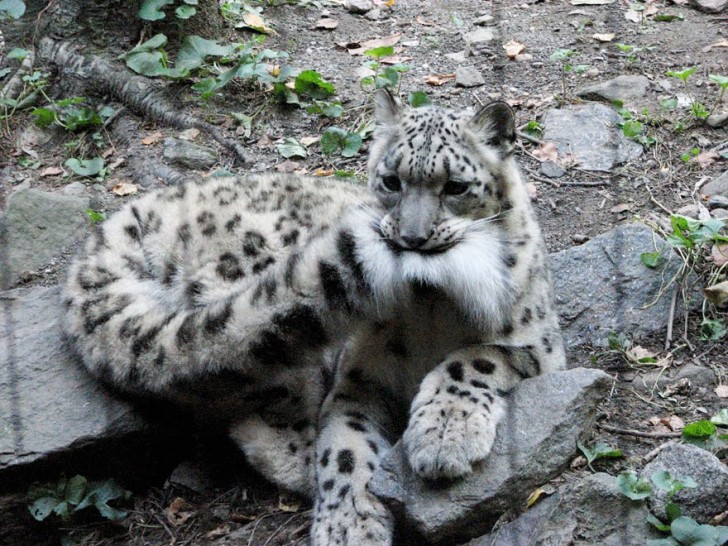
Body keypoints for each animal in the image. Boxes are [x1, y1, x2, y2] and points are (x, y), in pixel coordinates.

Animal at [62, 89, 566, 545]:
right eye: (391, 180)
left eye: (456, 186)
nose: (412, 237)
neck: (430, 307)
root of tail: (120, 221)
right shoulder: (359, 381)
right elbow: (344, 449)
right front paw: (348, 526)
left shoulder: (541, 345)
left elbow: (476, 356)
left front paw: (443, 437)